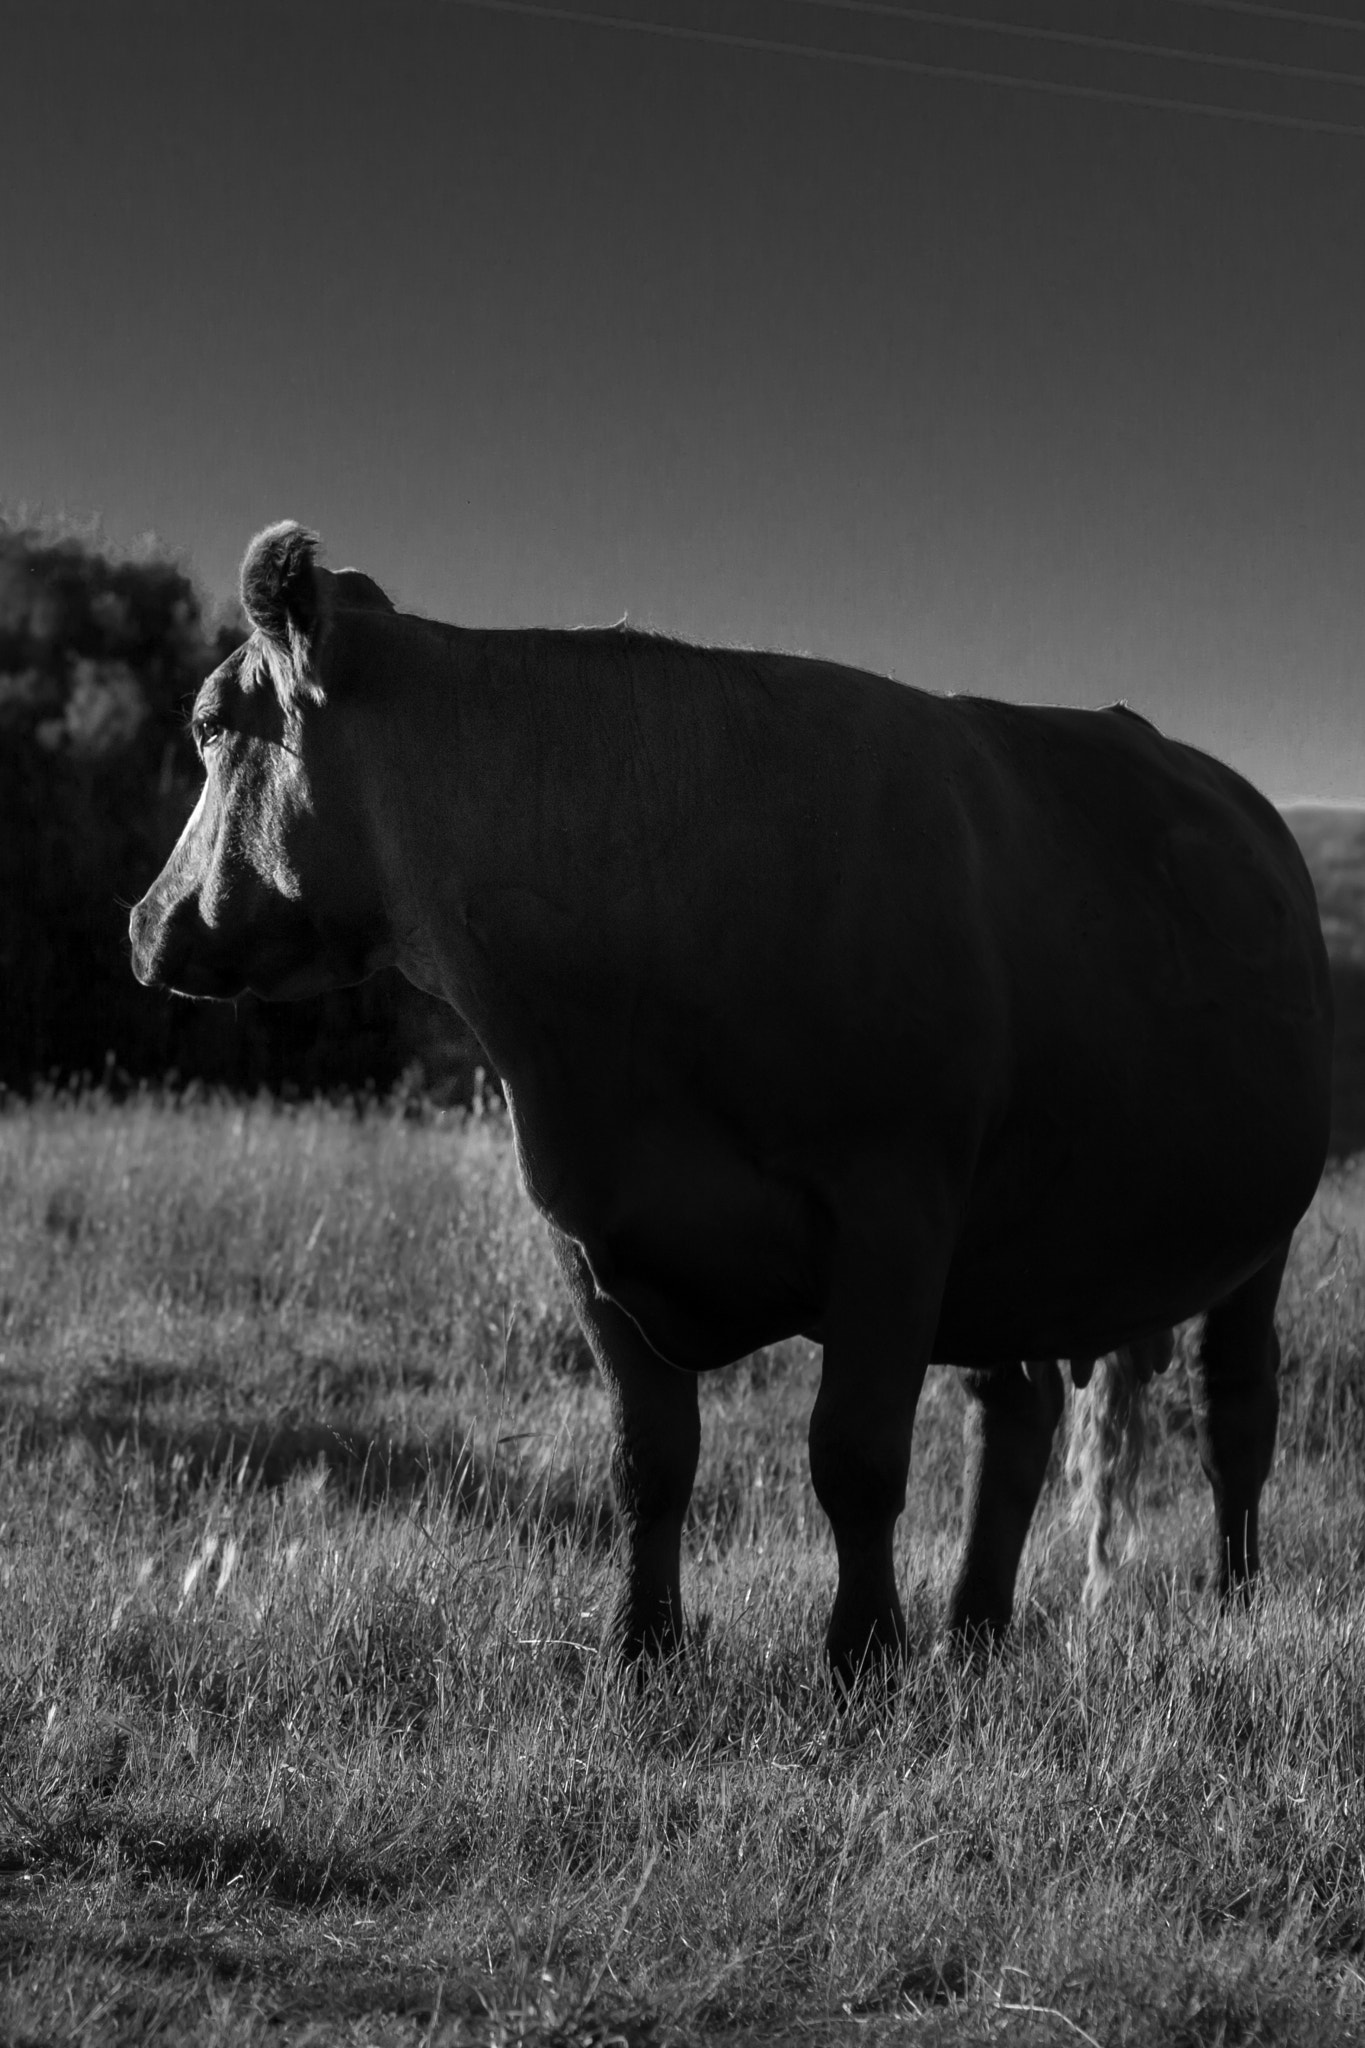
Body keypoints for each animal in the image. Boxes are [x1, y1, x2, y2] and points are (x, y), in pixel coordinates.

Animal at [129, 523, 1333, 1686]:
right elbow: (649, 1458)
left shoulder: (894, 1213)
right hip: (1016, 1235)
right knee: (1016, 1413)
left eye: (207, 724)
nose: (144, 922)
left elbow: (854, 1456)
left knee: (1234, 1410)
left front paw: (862, 1658)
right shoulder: (588, 1232)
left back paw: (1227, 1603)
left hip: (1254, 1238)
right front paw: (643, 1649)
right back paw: (974, 1631)